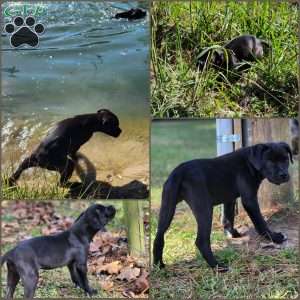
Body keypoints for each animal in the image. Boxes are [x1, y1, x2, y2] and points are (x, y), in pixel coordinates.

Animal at [155, 143, 292, 272]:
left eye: (285, 159)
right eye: (270, 161)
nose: (284, 175)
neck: (250, 162)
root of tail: (179, 172)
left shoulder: (229, 199)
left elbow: (228, 217)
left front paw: (232, 233)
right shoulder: (250, 200)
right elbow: (260, 221)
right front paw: (274, 237)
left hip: (167, 208)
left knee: (159, 236)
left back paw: (158, 265)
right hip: (204, 209)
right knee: (201, 241)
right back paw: (217, 266)